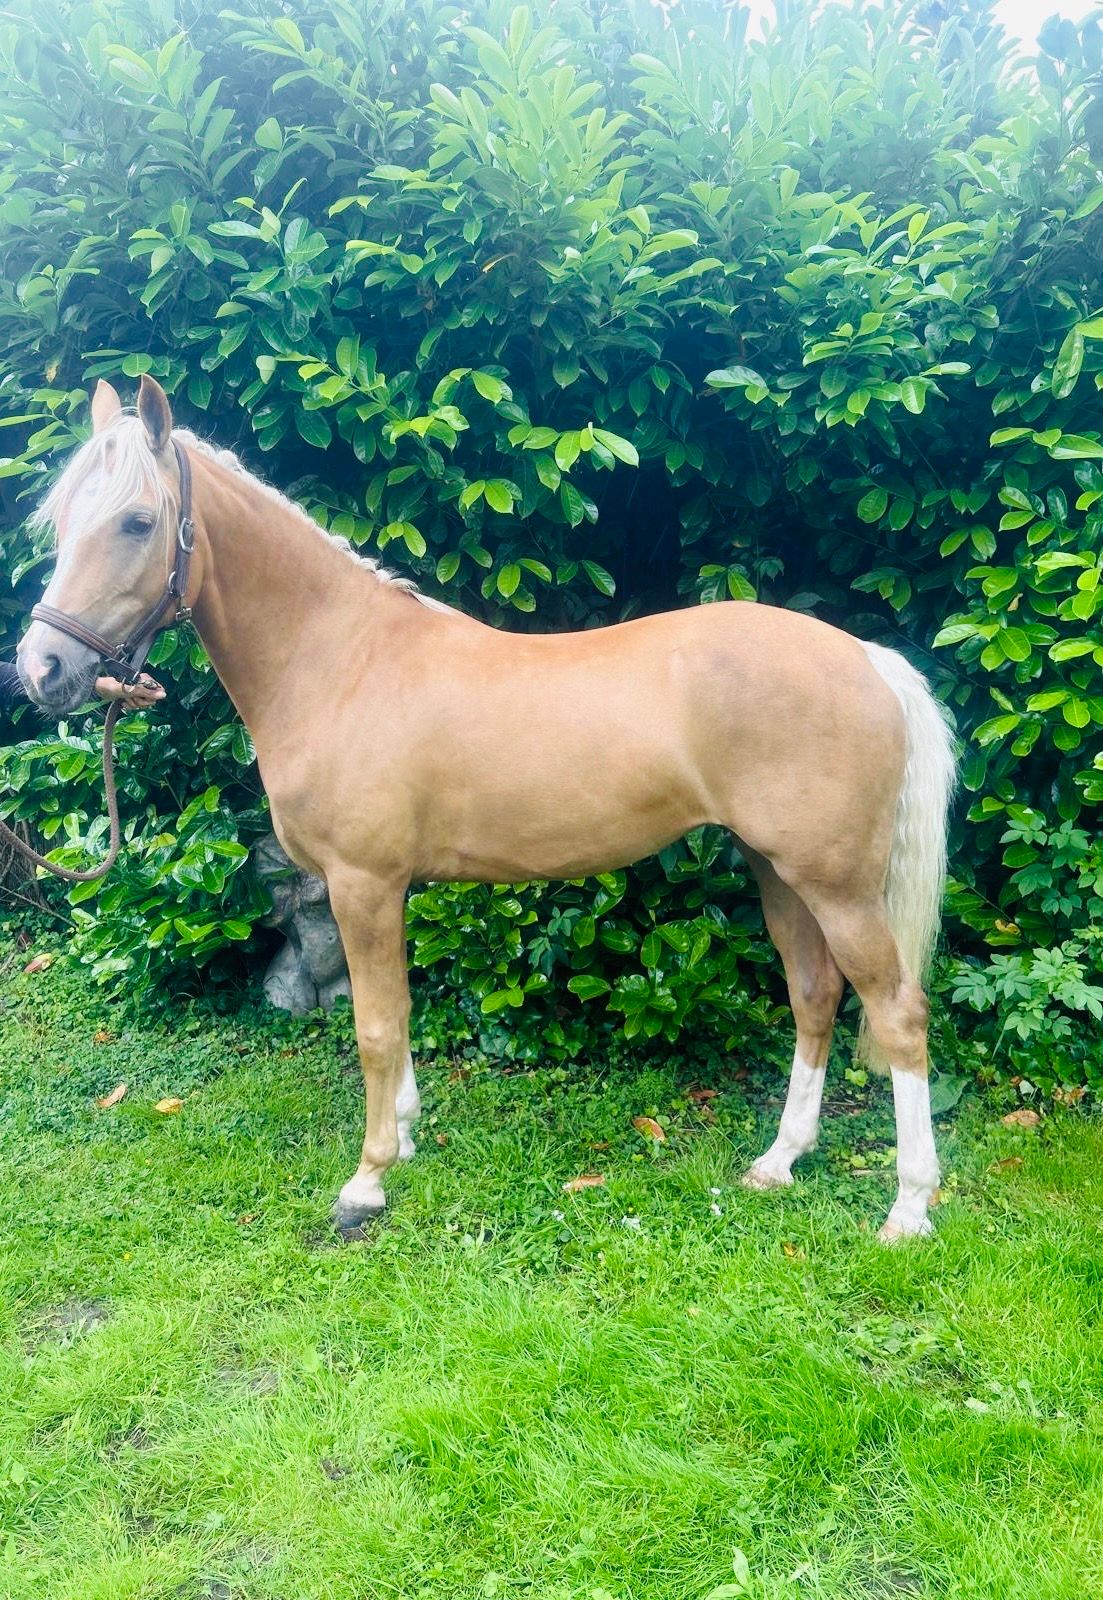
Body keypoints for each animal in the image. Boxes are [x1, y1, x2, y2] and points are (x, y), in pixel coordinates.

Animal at [16, 377, 955, 1240]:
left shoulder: (361, 883)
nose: (42, 669)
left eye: (138, 521)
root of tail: (868, 659)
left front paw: (367, 1182)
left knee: (898, 1014)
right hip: (780, 874)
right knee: (813, 996)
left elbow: (375, 1026)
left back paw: (908, 1208)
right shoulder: (386, 889)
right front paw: (402, 1135)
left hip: (836, 885)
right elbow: (399, 1017)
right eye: (60, 521)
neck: (340, 661)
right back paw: (778, 1162)